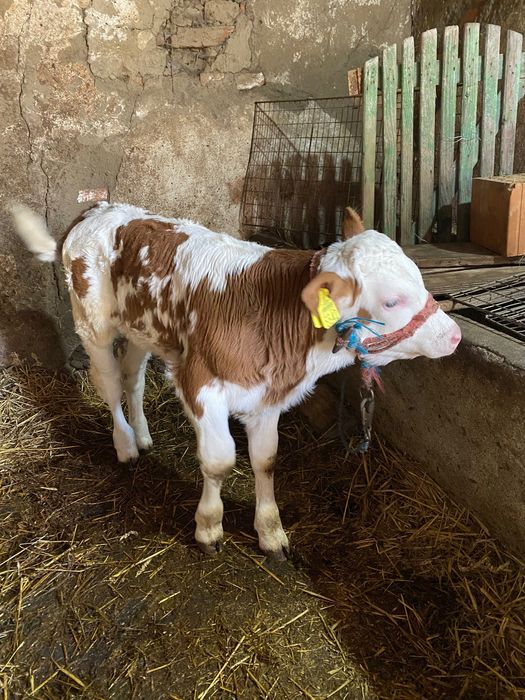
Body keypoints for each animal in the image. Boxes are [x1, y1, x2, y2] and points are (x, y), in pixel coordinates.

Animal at [10, 201, 461, 559]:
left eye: (418, 276)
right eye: (391, 300)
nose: (454, 335)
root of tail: (97, 209)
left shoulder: (268, 396)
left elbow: (266, 460)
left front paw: (271, 532)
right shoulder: (200, 381)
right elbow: (220, 459)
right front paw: (209, 527)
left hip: (144, 329)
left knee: (132, 377)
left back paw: (143, 435)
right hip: (93, 322)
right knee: (109, 382)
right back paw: (125, 445)